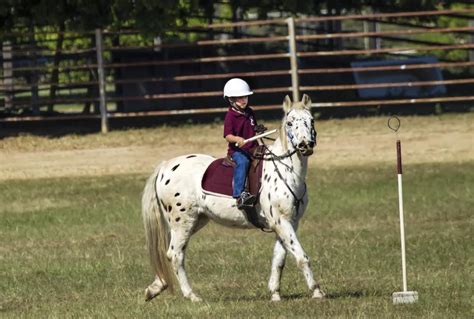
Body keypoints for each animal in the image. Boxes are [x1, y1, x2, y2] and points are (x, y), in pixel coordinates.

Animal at [143, 94, 324, 302]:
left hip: (194, 221)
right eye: (289, 122)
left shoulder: (289, 223)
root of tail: (165, 166)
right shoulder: (281, 221)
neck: (285, 170)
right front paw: (317, 292)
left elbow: (279, 259)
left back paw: (155, 288)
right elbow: (301, 257)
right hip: (183, 222)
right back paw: (192, 296)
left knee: (168, 252)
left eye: (311, 120)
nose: (305, 145)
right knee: (175, 254)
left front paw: (275, 293)